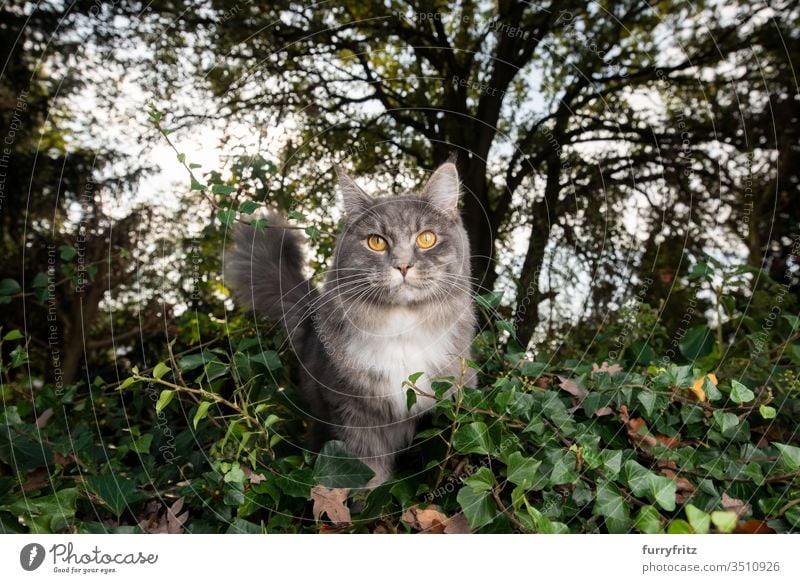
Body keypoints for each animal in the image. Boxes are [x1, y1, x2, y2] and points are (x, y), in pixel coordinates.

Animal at [225, 162, 476, 486]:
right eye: (376, 242)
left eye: (426, 238)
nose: (402, 265)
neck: (402, 327)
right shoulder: (353, 412)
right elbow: (369, 470)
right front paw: (366, 498)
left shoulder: (451, 397)